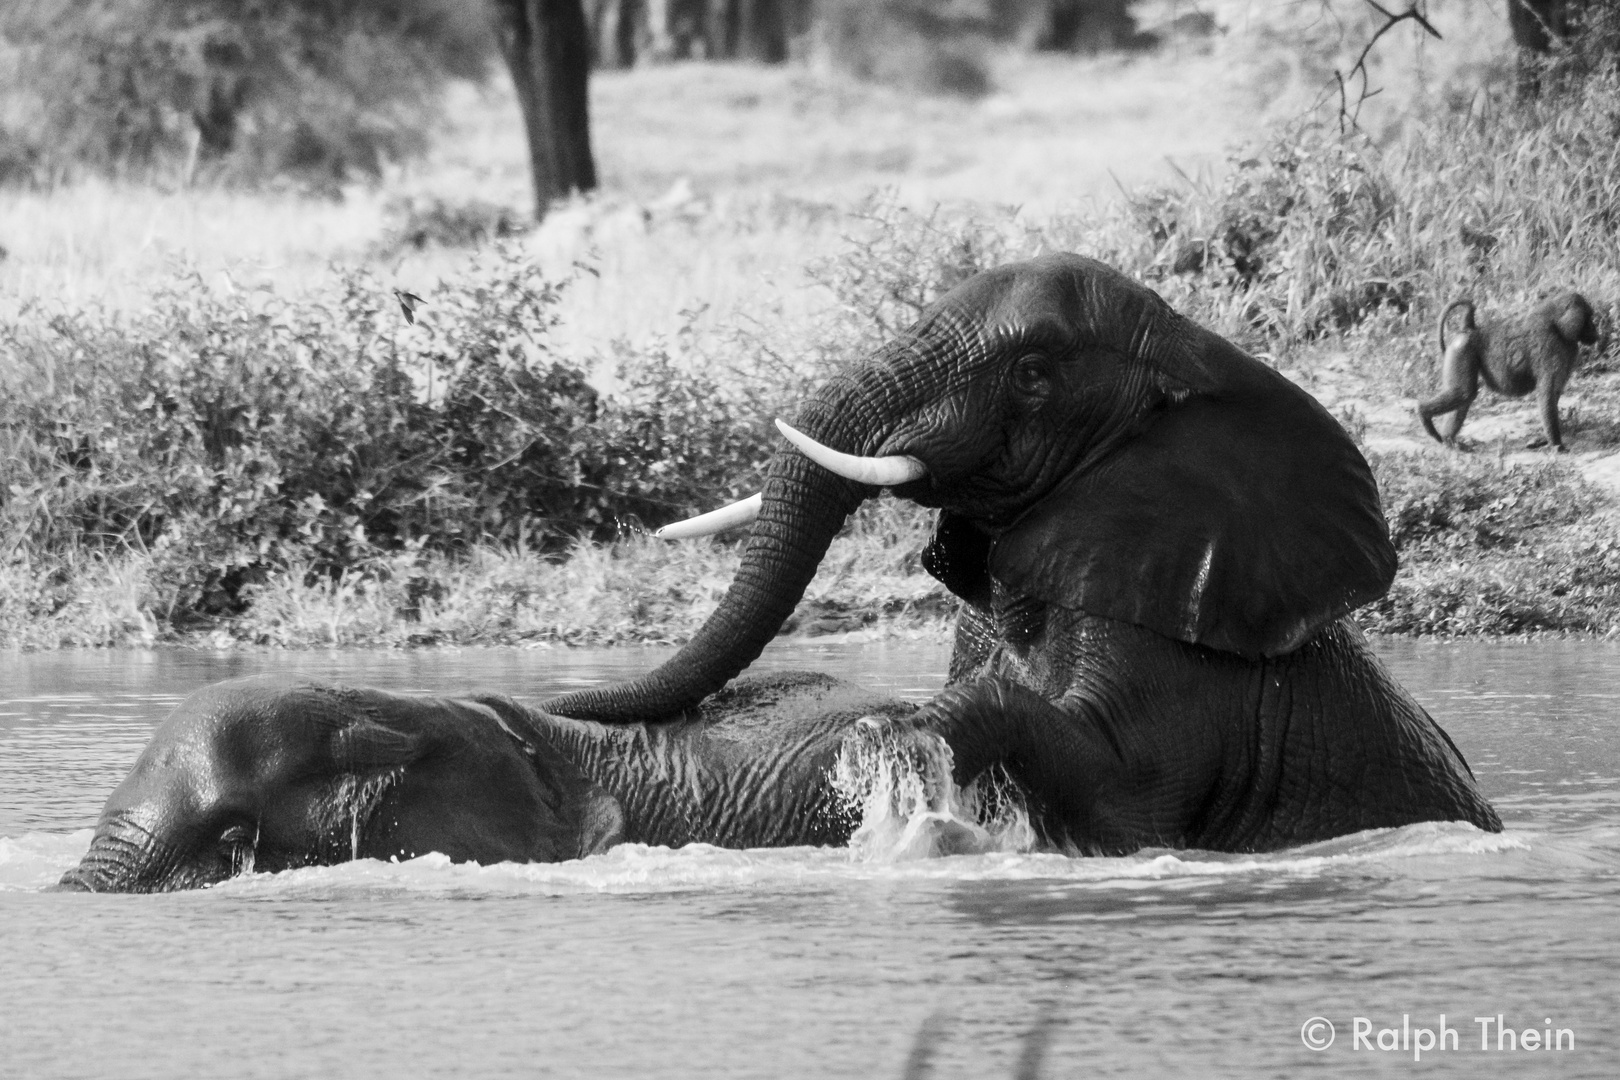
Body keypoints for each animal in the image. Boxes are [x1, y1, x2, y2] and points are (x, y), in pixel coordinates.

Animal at [544, 254, 1503, 854]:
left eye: (1034, 373)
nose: (555, 700)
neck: (1196, 356)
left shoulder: (1186, 661)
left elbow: (1128, 801)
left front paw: (897, 736)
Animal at [1419, 289, 1594, 450]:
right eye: (1589, 317)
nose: (1596, 333)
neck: (1556, 323)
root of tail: (1470, 328)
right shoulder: (1552, 348)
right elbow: (1547, 394)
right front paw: (1557, 444)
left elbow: (1554, 393)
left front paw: (1544, 440)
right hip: (1461, 350)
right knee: (1464, 392)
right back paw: (1423, 413)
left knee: (1465, 394)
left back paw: (1449, 439)